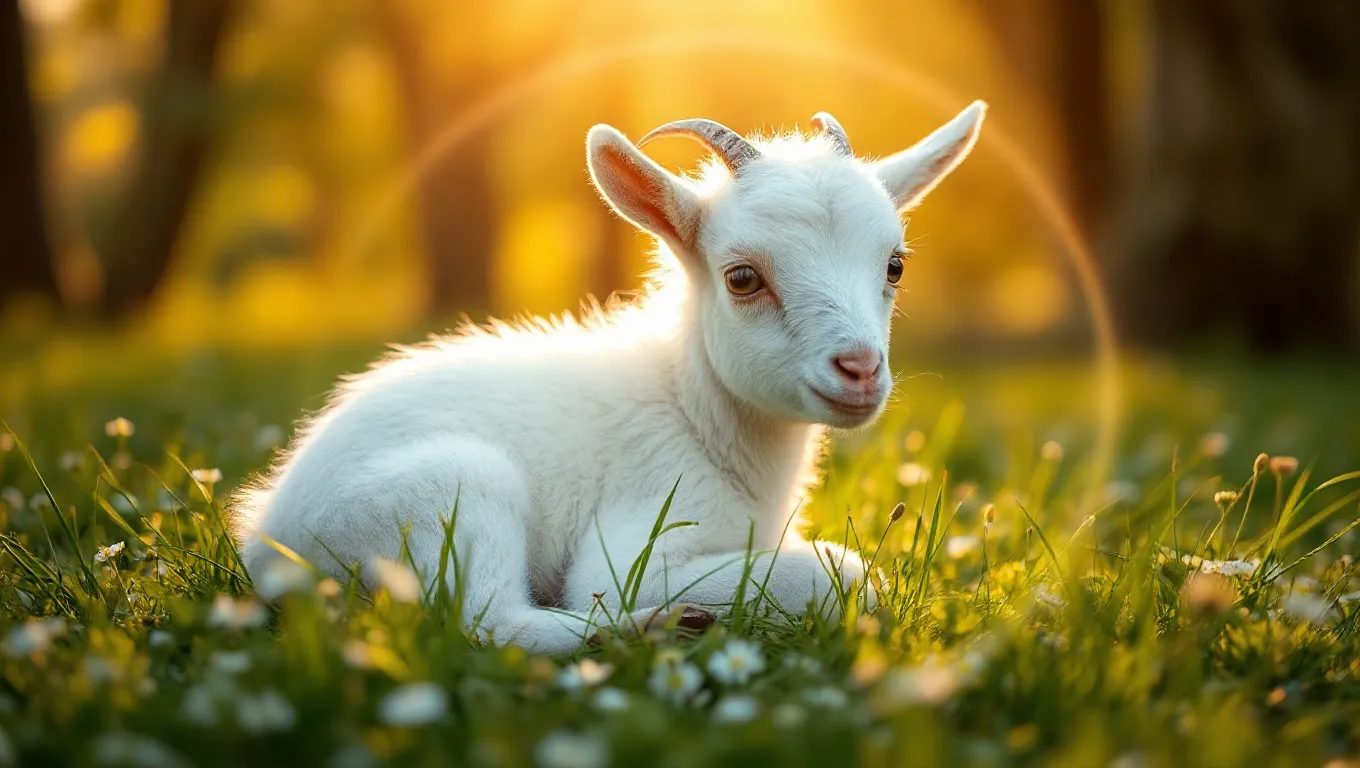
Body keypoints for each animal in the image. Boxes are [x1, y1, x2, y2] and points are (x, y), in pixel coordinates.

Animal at [232, 103, 987, 653]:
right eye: (743, 277)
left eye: (895, 265)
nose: (859, 370)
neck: (692, 410)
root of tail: (267, 537)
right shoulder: (638, 541)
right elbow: (847, 573)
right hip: (446, 494)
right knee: (487, 622)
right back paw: (653, 627)